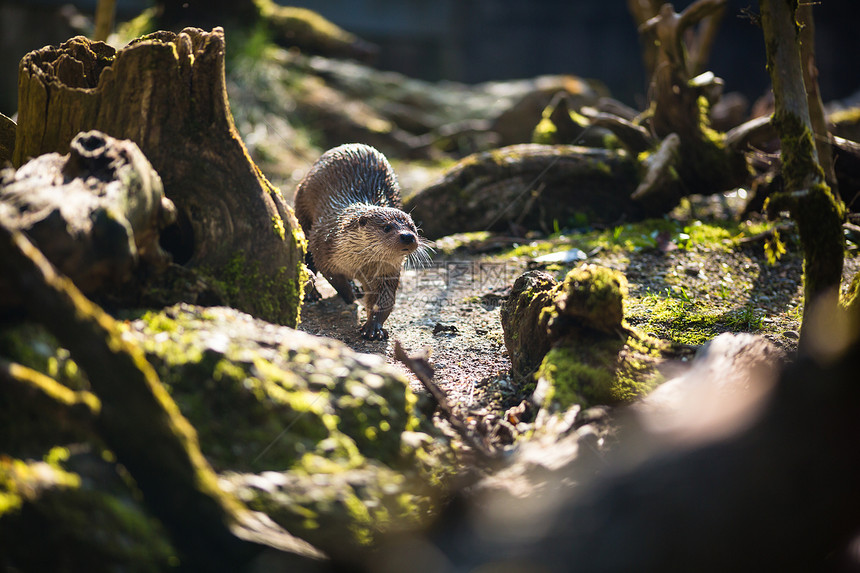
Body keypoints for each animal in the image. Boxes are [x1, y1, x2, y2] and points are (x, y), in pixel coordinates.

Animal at [296, 143, 430, 340]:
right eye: (387, 227)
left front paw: (373, 327)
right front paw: (349, 295)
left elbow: (383, 299)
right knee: (307, 258)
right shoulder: (324, 247)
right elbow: (333, 276)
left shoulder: (387, 271)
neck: (357, 264)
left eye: (413, 227)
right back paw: (313, 294)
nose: (407, 236)